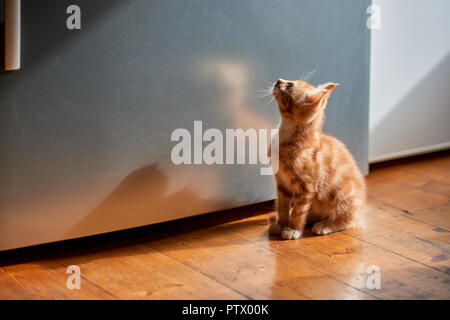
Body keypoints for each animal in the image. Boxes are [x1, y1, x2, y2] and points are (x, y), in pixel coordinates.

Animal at [268, 79, 366, 240]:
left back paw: (325, 225)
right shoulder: (282, 185)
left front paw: (293, 229)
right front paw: (281, 224)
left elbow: (299, 211)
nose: (278, 80)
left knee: (349, 220)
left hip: (342, 195)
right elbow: (281, 206)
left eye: (289, 87)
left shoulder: (307, 187)